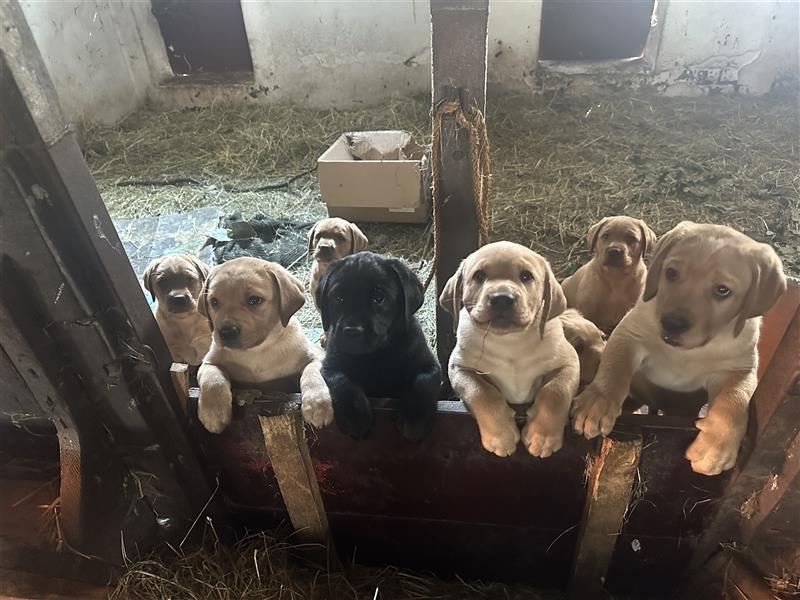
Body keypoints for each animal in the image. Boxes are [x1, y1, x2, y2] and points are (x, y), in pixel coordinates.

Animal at [198, 256, 334, 432]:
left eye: (254, 300)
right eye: (214, 301)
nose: (226, 332)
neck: (256, 351)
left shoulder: (314, 359)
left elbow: (313, 374)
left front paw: (317, 404)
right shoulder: (208, 363)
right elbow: (213, 380)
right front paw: (213, 413)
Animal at [318, 251, 444, 438]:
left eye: (379, 298)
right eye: (338, 298)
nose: (352, 331)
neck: (376, 355)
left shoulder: (430, 365)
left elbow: (423, 381)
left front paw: (414, 419)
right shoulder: (329, 367)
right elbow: (341, 382)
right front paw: (355, 417)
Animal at [440, 241, 580, 458]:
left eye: (526, 276)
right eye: (479, 276)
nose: (502, 298)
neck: (510, 341)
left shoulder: (569, 362)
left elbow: (555, 392)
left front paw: (542, 437)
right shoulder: (459, 367)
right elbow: (480, 392)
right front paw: (501, 435)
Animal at [568, 223, 788, 476]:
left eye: (722, 290)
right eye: (671, 273)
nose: (672, 323)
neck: (685, 351)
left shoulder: (740, 368)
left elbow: (734, 401)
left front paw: (716, 448)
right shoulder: (629, 334)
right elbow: (614, 367)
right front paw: (596, 402)